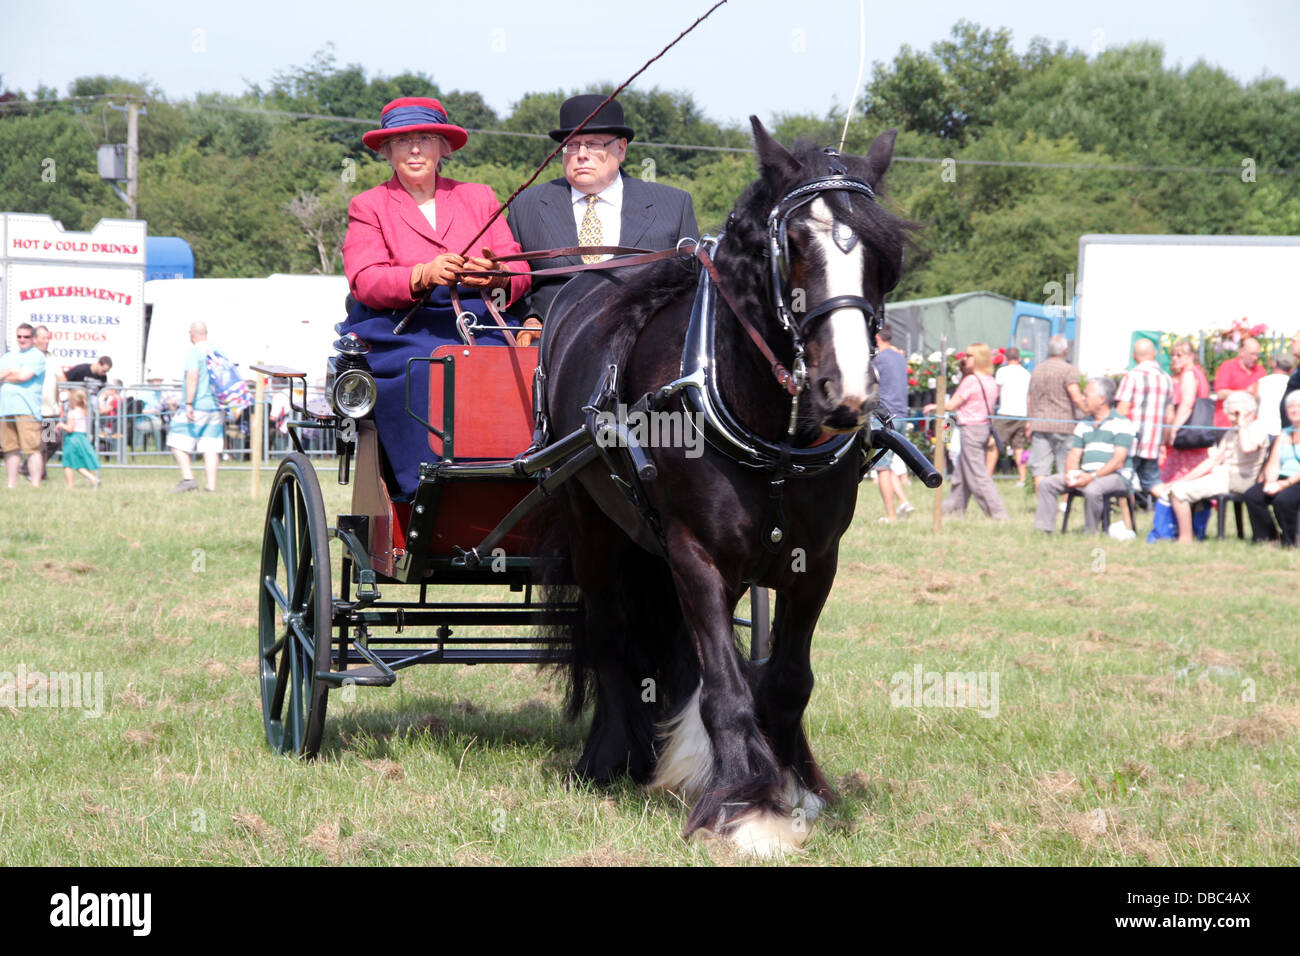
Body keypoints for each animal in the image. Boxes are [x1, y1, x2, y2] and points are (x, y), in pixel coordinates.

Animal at [543, 115, 909, 858]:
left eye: (886, 258)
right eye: (791, 247)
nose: (847, 392)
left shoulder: (814, 560)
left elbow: (786, 678)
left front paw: (794, 783)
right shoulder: (694, 552)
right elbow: (725, 688)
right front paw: (746, 807)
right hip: (591, 523)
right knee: (610, 634)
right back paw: (611, 755)